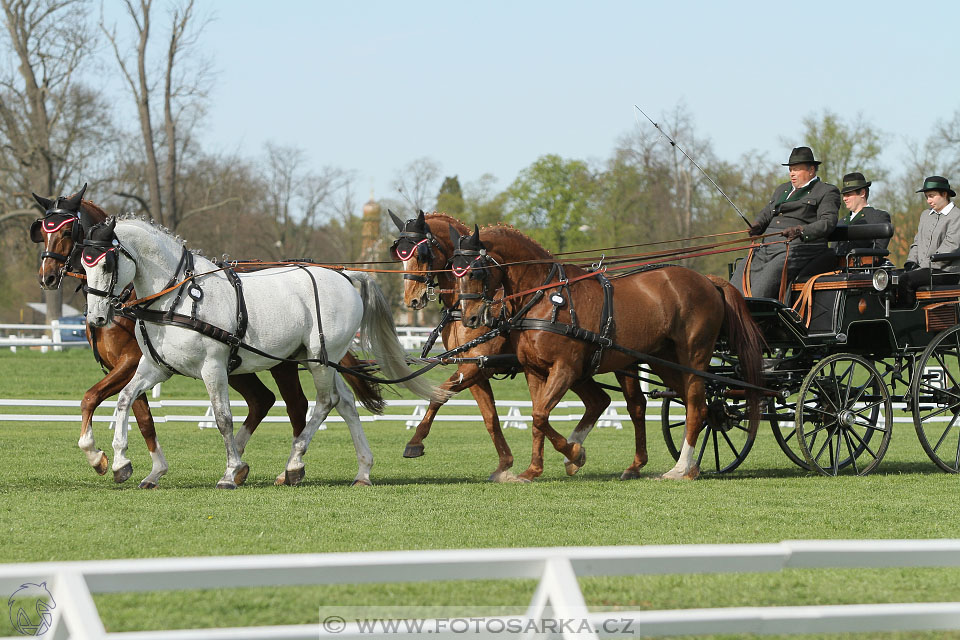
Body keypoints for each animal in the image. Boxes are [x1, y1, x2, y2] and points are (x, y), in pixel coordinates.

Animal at [34, 188, 378, 488]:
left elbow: (222, 418)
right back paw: (361, 470)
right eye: (85, 259)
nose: (97, 316)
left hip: (311, 361)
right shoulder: (153, 366)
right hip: (316, 361)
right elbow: (125, 403)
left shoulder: (208, 367)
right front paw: (122, 463)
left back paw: (292, 465)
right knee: (341, 402)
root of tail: (343, 275)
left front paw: (229, 472)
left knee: (318, 403)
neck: (173, 297)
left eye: (105, 263)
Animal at [390, 212, 616, 482]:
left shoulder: (477, 365)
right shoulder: (472, 366)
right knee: (598, 401)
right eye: (400, 254)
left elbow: (439, 394)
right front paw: (504, 464)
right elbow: (490, 417)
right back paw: (574, 454)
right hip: (576, 370)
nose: (411, 299)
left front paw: (415, 442)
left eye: (423, 254)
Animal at [452, 225, 764, 480]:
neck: (547, 297)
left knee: (698, 404)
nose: (470, 319)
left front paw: (575, 453)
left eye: (475, 272)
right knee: (691, 404)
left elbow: (540, 415)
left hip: (693, 357)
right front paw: (533, 470)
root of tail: (707, 280)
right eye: (455, 273)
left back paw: (679, 469)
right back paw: (683, 466)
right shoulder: (534, 371)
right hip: (664, 360)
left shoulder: (565, 369)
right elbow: (538, 418)